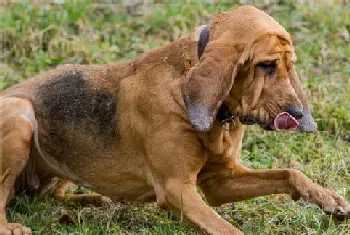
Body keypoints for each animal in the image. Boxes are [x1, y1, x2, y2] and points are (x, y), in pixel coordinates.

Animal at [0, 5, 350, 235]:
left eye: (290, 66)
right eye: (266, 66)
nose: (298, 114)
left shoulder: (221, 181)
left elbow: (290, 173)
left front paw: (329, 199)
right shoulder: (176, 189)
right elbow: (228, 230)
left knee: (51, 194)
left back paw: (98, 200)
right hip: (21, 116)